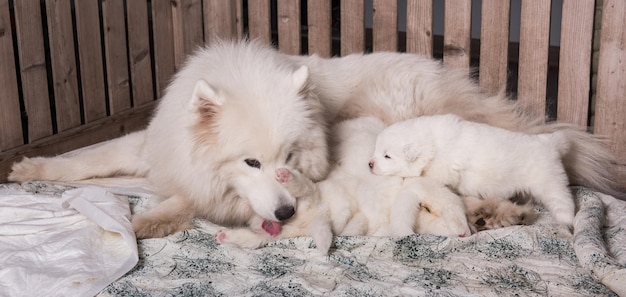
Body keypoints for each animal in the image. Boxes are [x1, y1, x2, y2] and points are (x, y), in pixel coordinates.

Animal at [368, 114, 572, 225]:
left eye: (387, 156)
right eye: (376, 150)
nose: (369, 164)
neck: (431, 144)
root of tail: (551, 142)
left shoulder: (443, 170)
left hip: (550, 182)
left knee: (564, 202)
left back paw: (567, 225)